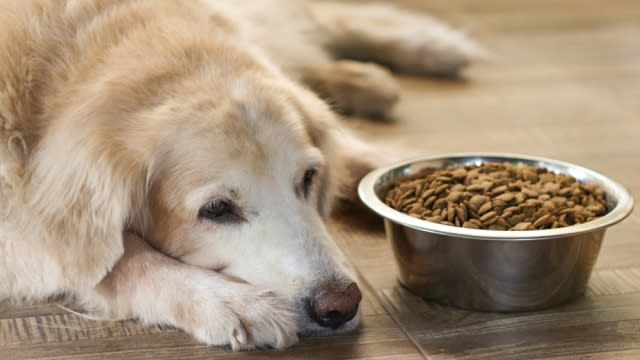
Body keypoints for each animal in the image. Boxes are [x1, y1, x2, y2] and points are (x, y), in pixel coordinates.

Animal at [0, 0, 480, 350]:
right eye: (217, 209)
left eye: (308, 178)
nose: (340, 306)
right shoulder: (21, 225)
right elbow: (119, 259)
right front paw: (229, 302)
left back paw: (421, 51)